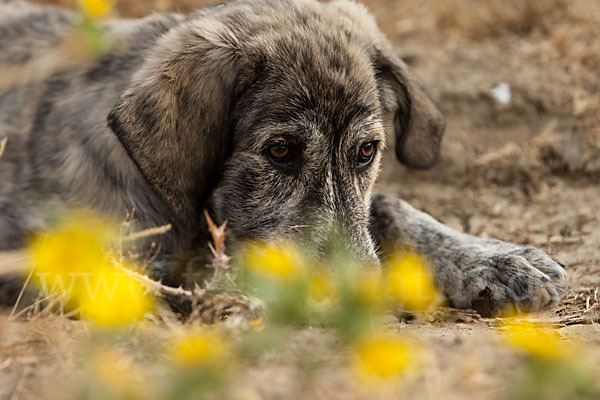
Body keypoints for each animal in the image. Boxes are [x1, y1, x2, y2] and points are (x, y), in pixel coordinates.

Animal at [0, 0, 568, 316]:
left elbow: (385, 208)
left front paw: (494, 257)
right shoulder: (103, 276)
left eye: (367, 151)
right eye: (280, 151)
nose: (359, 296)